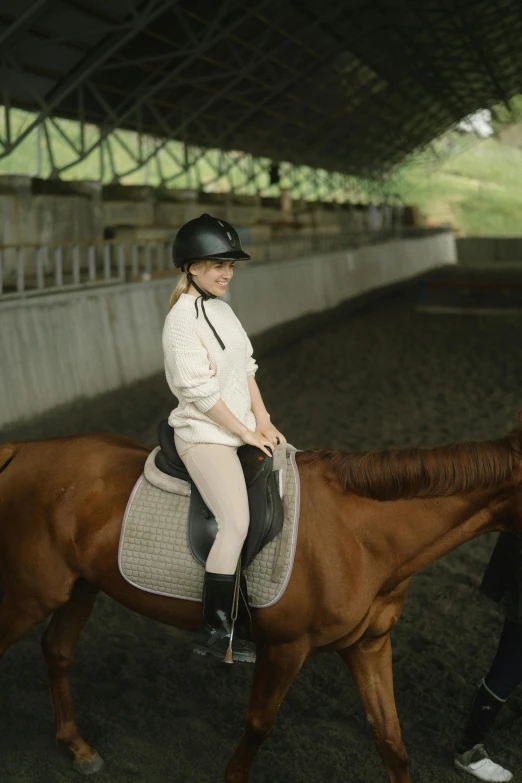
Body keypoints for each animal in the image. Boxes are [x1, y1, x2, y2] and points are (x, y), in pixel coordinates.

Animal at [1, 428, 520, 783]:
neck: (360, 534)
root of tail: (23, 449)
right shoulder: (284, 649)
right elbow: (257, 726)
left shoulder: (369, 645)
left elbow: (391, 740)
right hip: (34, 593)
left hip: (78, 588)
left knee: (57, 651)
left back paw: (78, 748)